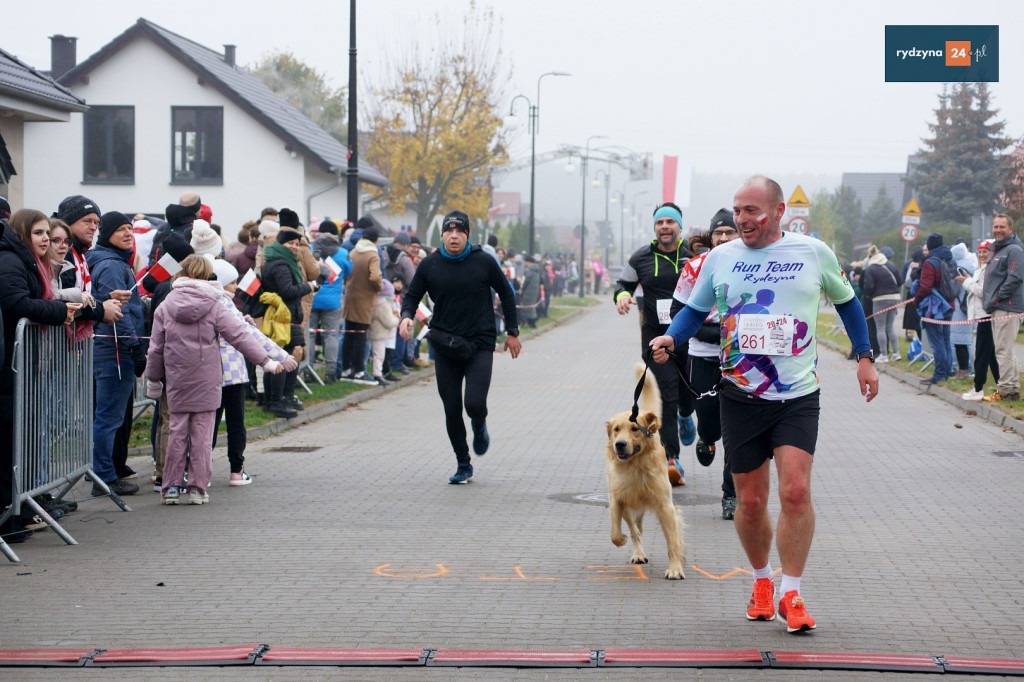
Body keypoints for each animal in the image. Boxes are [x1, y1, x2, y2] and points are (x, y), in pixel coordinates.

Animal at [602, 364, 684, 577]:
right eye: (616, 429)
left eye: (634, 429)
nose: (620, 445)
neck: (635, 466)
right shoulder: (617, 499)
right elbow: (615, 533)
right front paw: (621, 539)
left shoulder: (665, 505)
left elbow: (672, 542)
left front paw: (675, 568)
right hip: (631, 506)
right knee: (635, 529)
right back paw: (638, 553)